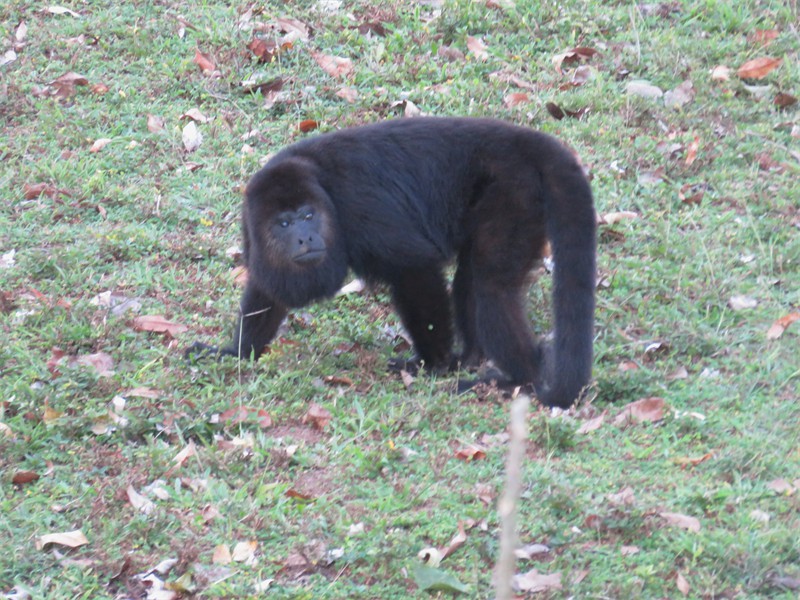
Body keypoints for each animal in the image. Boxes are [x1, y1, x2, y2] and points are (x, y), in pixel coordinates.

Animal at [186, 117, 596, 409]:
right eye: (283, 223)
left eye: (307, 215)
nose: (306, 237)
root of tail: (521, 142)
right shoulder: (251, 228)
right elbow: (266, 288)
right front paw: (234, 352)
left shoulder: (355, 205)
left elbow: (415, 269)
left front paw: (434, 363)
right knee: (472, 277)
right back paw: (475, 357)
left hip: (513, 192)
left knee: (490, 284)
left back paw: (519, 376)